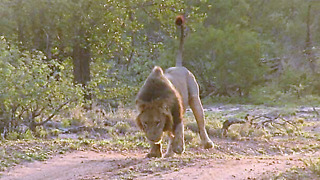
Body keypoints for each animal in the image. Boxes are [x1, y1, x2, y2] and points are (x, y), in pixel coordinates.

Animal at [135, 15, 212, 158]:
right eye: (145, 123)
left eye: (158, 122)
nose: (153, 137)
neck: (153, 97)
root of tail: (179, 66)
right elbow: (166, 136)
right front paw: (154, 152)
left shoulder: (177, 113)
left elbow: (178, 131)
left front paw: (179, 148)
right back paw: (169, 153)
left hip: (195, 98)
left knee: (201, 123)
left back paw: (207, 143)